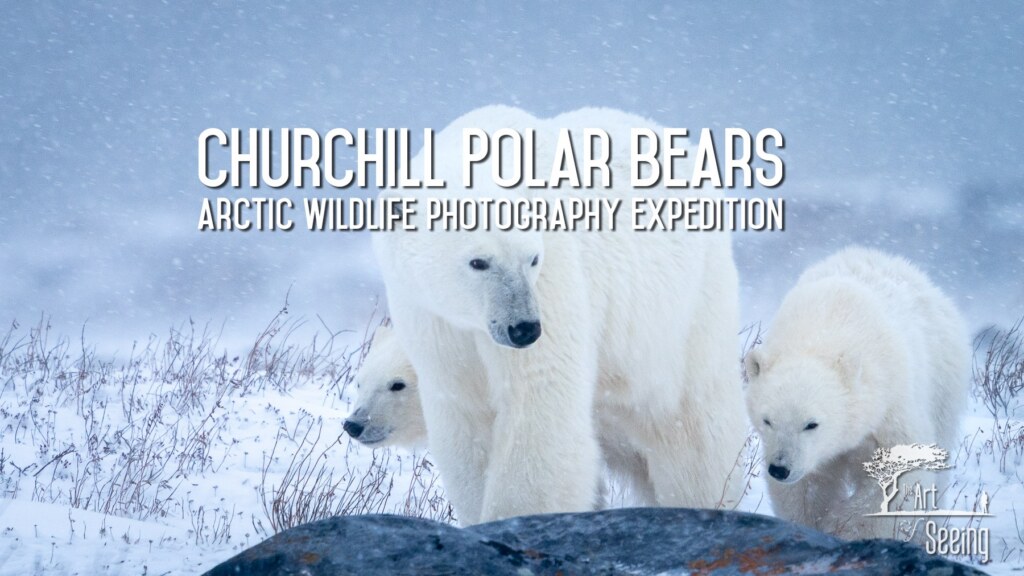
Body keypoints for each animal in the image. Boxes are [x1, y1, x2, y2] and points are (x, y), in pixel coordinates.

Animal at [373, 105, 748, 524]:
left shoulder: (556, 282)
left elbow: (538, 406)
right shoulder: (430, 316)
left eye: (532, 259)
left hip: (682, 314)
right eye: (479, 262)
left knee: (690, 432)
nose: (523, 329)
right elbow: (466, 413)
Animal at [743, 246, 969, 540]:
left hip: (943, 384)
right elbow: (807, 488)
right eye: (767, 420)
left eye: (811, 424)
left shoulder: (890, 405)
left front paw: (844, 526)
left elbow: (903, 472)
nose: (780, 468)